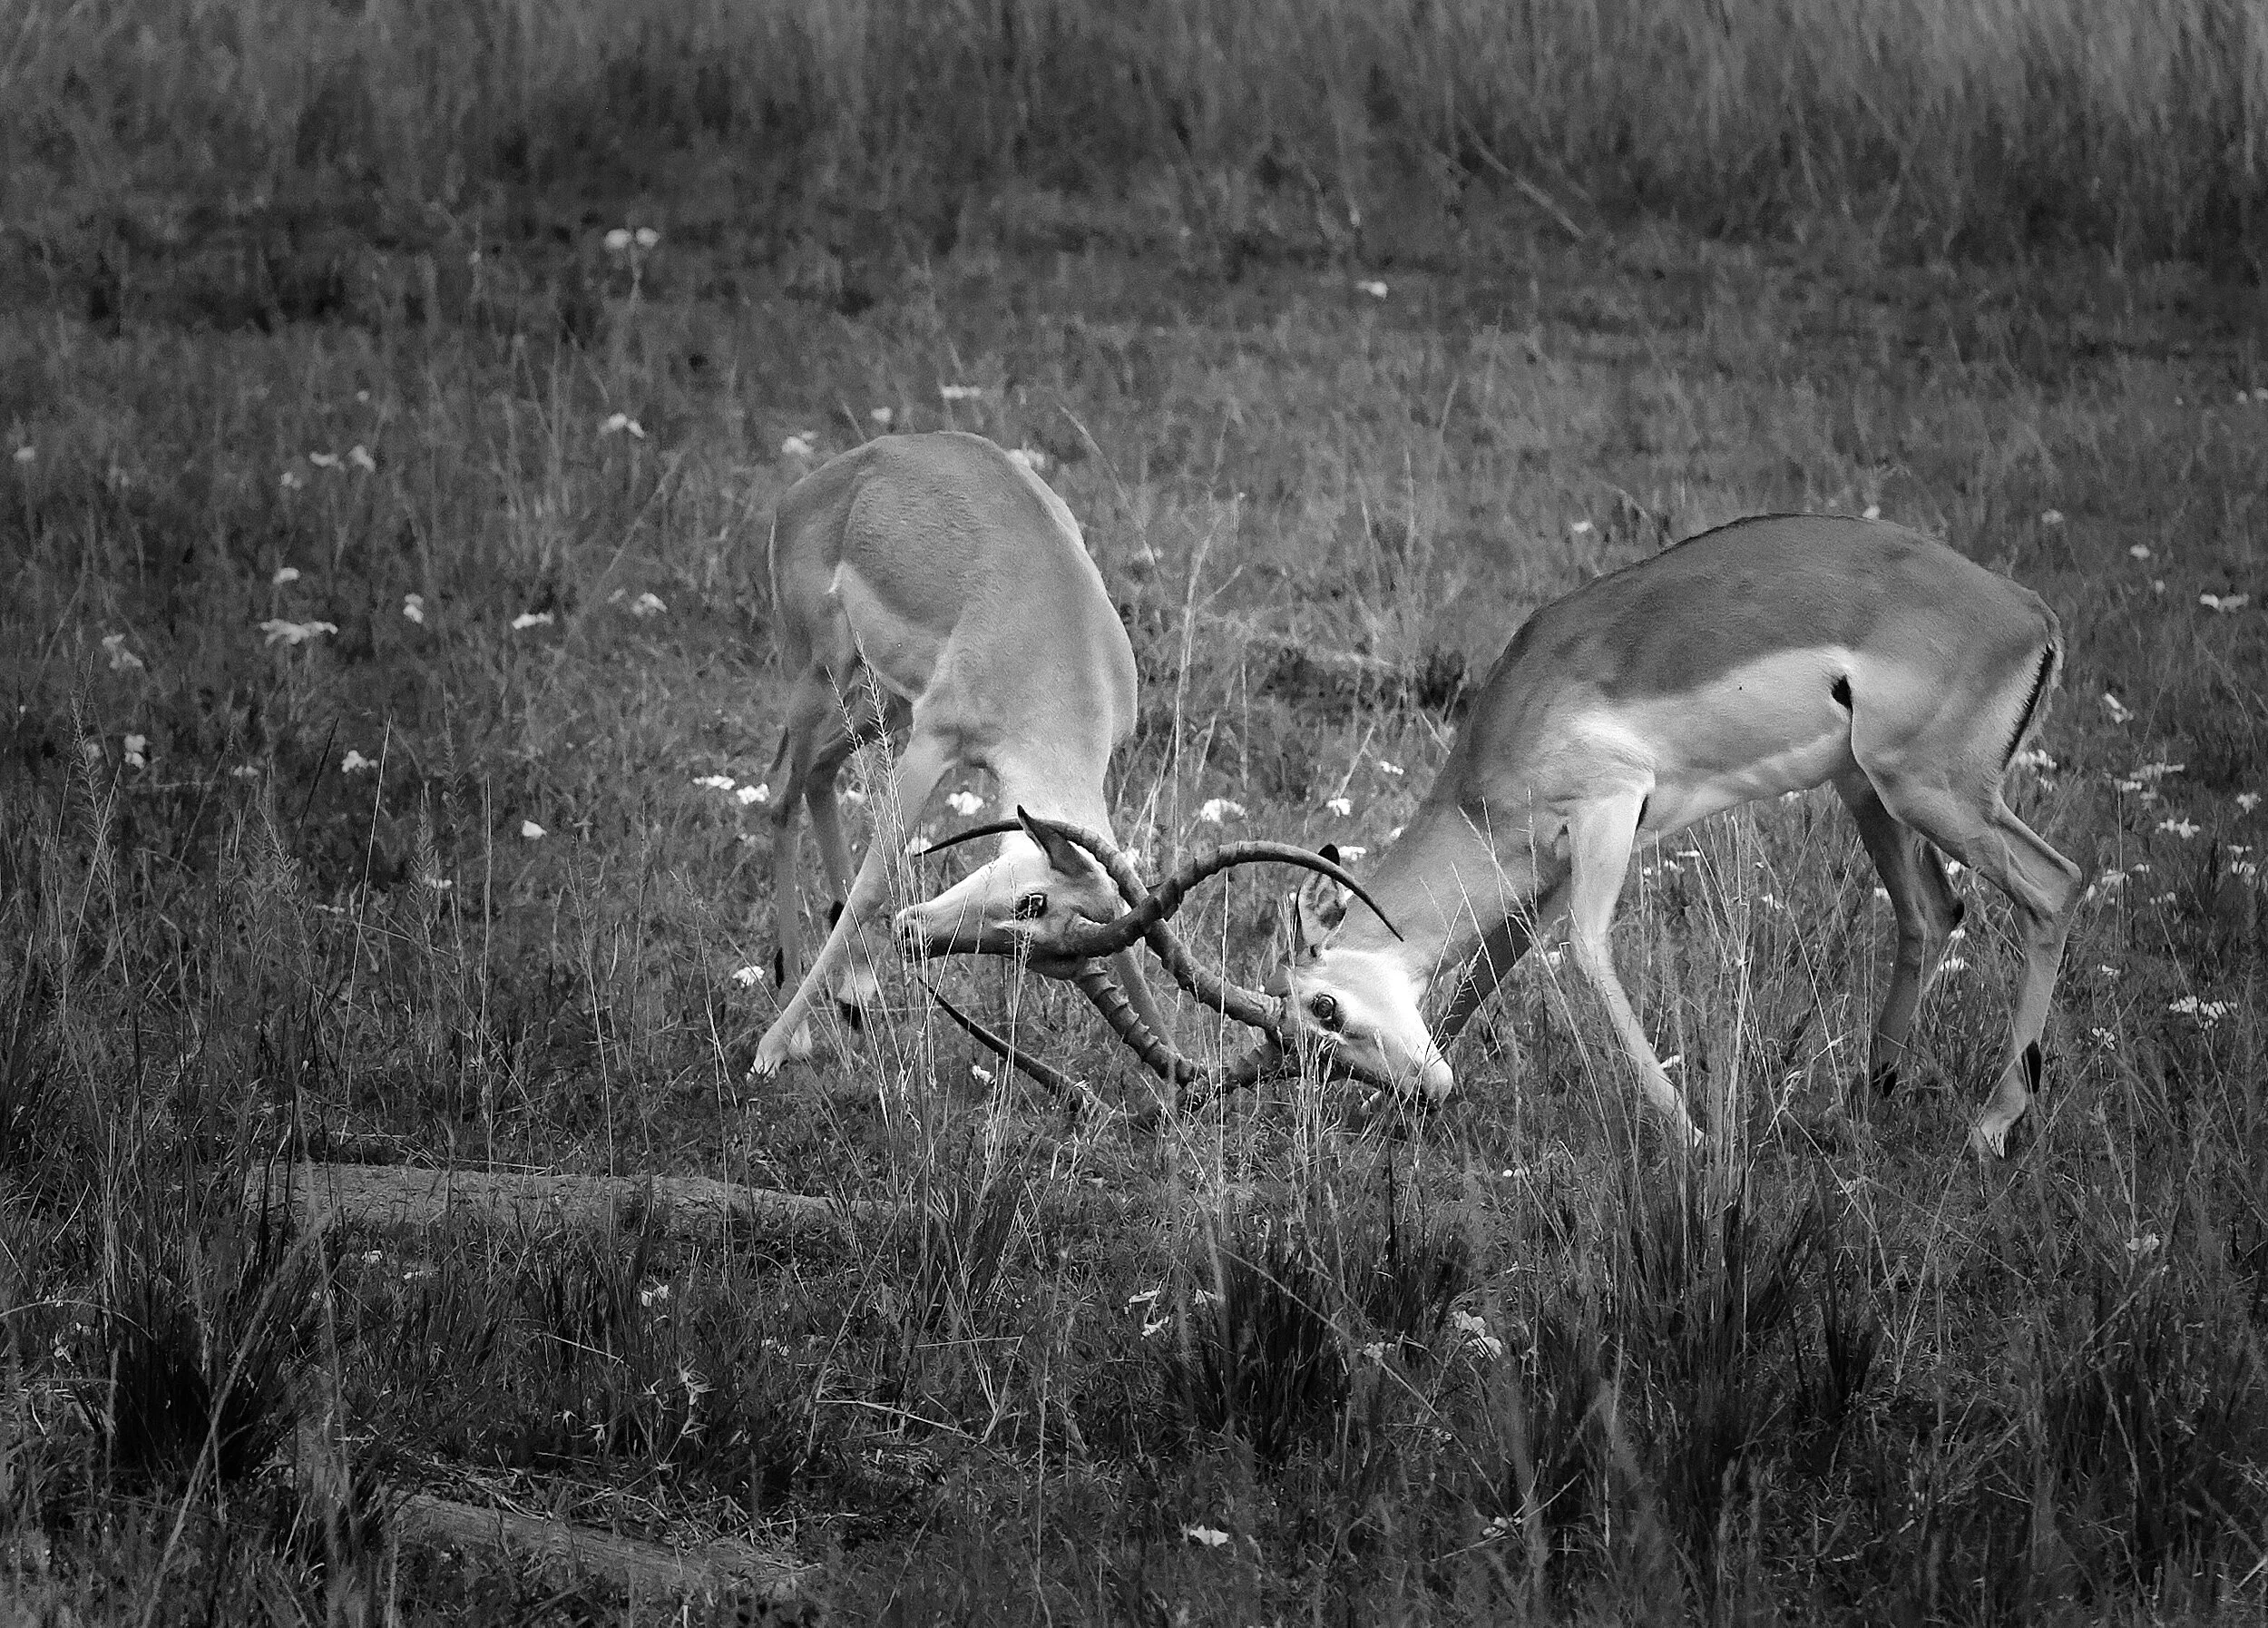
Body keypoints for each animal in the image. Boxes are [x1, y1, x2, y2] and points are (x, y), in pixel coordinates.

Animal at [749, 431, 1365, 1079]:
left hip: (884, 705)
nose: (913, 933)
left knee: (817, 774)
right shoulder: (934, 742)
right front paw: (769, 1047)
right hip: (820, 673)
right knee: (781, 791)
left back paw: (857, 992)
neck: (1057, 643)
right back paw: (793, 1035)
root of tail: (821, 481)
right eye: (1033, 901)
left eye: (1049, 956)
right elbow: (876, 879)